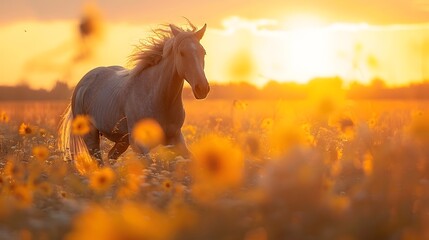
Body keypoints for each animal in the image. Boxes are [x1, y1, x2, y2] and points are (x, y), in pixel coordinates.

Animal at [58, 22, 209, 167]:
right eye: (182, 53)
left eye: (203, 52)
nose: (202, 88)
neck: (159, 99)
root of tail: (82, 83)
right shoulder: (139, 144)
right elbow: (150, 167)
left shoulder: (175, 138)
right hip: (91, 137)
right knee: (99, 162)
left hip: (122, 141)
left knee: (111, 156)